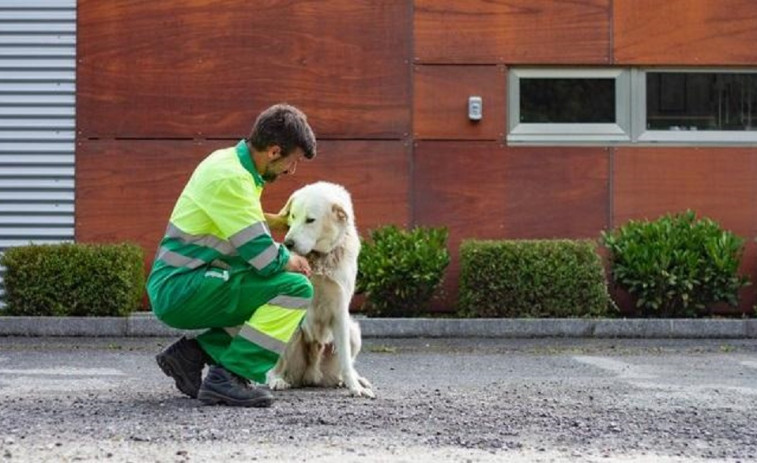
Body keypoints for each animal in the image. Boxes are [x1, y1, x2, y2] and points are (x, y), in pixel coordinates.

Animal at [264, 181, 374, 398]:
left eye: (310, 220)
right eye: (293, 216)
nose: (288, 243)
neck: (319, 259)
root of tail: (311, 375)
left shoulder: (340, 308)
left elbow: (346, 360)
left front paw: (355, 387)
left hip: (353, 333)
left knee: (346, 365)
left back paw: (356, 380)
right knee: (275, 367)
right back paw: (277, 379)